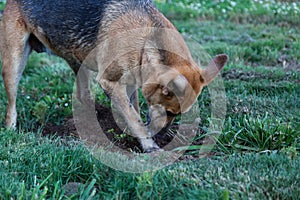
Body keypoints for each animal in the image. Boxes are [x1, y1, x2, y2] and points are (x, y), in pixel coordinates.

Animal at [0, 0, 227, 152]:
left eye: (177, 115)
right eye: (171, 112)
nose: (162, 135)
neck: (146, 38)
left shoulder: (132, 85)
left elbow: (133, 112)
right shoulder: (109, 82)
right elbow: (134, 117)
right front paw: (149, 144)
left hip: (78, 62)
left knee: (83, 95)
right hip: (14, 65)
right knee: (11, 106)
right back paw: (11, 130)